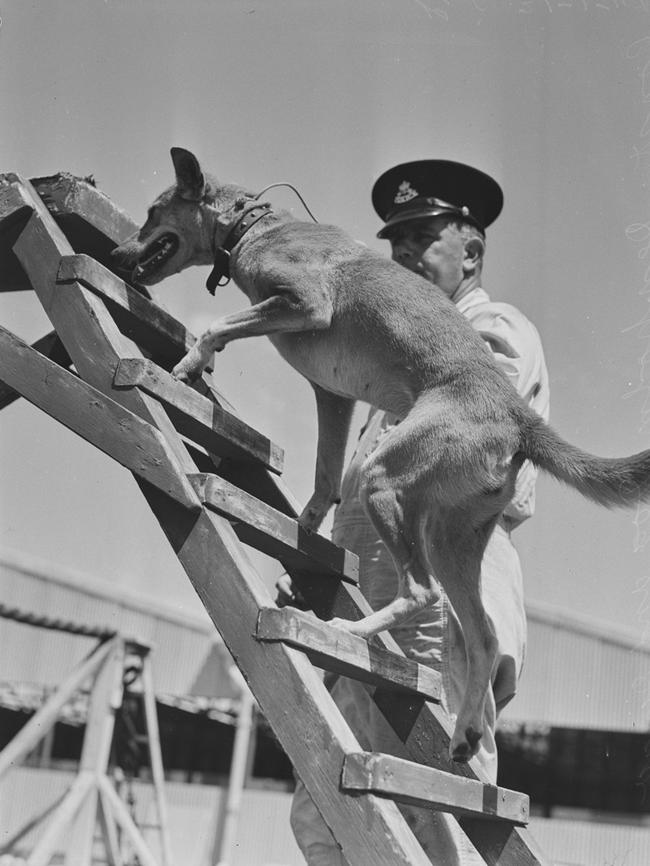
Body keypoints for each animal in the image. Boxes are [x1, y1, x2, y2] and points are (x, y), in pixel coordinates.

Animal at [112, 147, 650, 756]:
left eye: (153, 212)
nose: (118, 254)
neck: (254, 227)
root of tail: (518, 416)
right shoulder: (334, 397)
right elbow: (324, 480)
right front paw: (302, 533)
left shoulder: (307, 302)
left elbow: (220, 323)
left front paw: (190, 362)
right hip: (455, 540)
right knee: (484, 638)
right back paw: (464, 730)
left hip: (385, 483)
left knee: (420, 592)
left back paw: (353, 632)